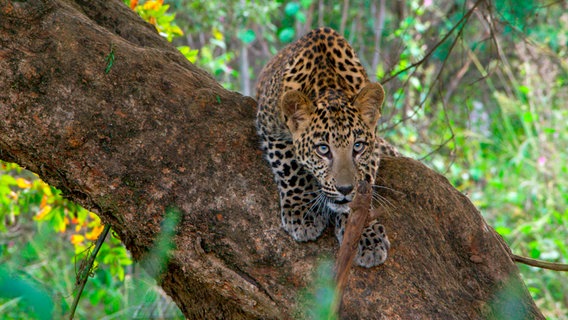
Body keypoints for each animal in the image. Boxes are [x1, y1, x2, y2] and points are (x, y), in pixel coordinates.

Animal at [255, 26, 398, 268]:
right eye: (323, 149)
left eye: (358, 147)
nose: (345, 189)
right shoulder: (269, 127)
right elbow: (291, 166)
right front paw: (302, 212)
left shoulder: (373, 147)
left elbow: (365, 184)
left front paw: (365, 235)